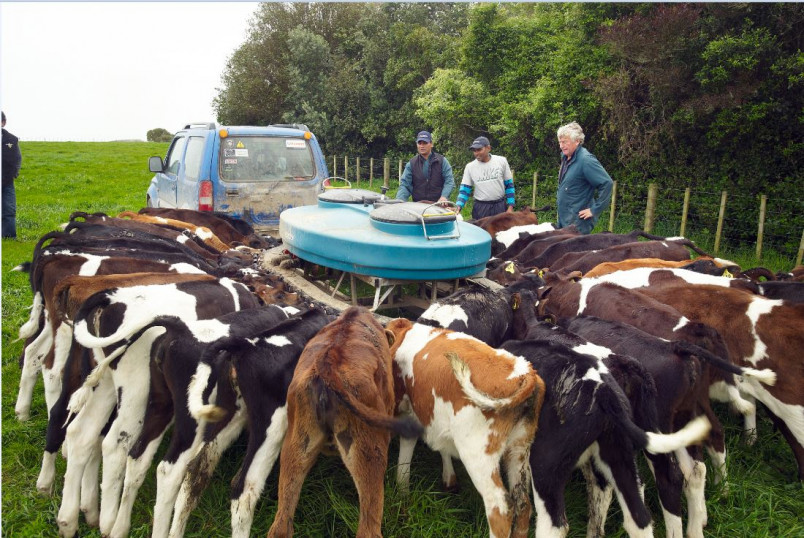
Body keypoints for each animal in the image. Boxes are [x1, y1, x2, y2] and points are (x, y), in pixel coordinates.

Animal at [384, 318, 548, 536]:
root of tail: (526, 373)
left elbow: (406, 453)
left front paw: (402, 494)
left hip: (478, 453)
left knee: (499, 508)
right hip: (519, 449)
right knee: (522, 504)